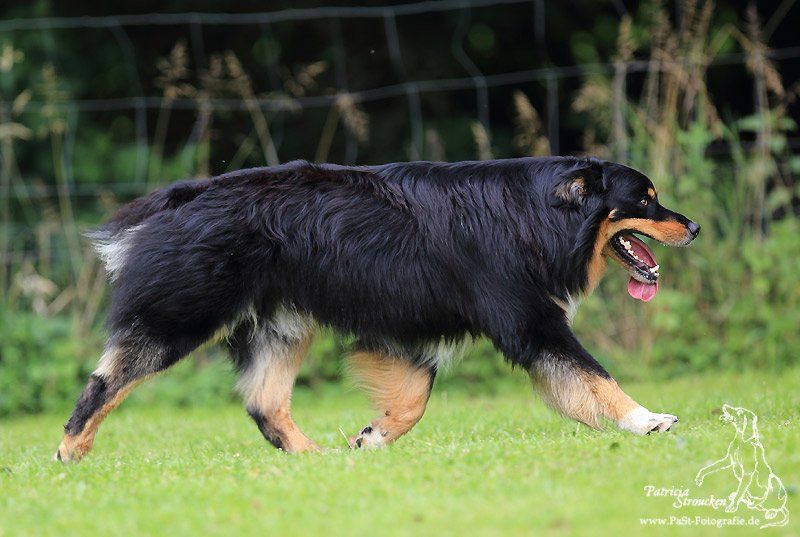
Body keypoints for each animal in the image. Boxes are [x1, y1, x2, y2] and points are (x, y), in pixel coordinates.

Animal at [55, 157, 700, 462]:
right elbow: (594, 379)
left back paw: (312, 458)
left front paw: (370, 439)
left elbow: (413, 398)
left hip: (282, 325)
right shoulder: (529, 323)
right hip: (183, 315)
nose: (693, 226)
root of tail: (186, 195)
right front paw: (648, 420)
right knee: (107, 379)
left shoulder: (405, 330)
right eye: (645, 200)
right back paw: (70, 449)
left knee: (265, 401)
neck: (539, 212)